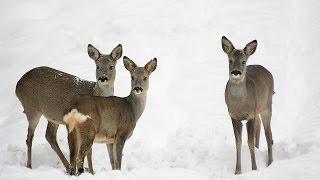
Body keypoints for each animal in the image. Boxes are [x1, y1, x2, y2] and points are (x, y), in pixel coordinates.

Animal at [14, 43, 122, 174]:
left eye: (111, 66)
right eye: (97, 66)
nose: (102, 78)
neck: (94, 92)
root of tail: (18, 85)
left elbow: (88, 150)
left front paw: (90, 171)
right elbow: (84, 150)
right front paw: (87, 172)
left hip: (52, 117)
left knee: (49, 136)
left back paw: (67, 167)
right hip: (32, 109)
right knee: (29, 137)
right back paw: (29, 166)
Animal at [221, 36, 274, 174]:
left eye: (243, 61)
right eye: (230, 60)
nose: (236, 72)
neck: (240, 104)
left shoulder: (250, 115)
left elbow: (249, 142)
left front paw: (254, 169)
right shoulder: (234, 116)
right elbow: (238, 143)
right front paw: (237, 171)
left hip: (267, 106)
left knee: (268, 133)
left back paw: (270, 163)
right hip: (258, 110)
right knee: (259, 126)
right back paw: (258, 150)